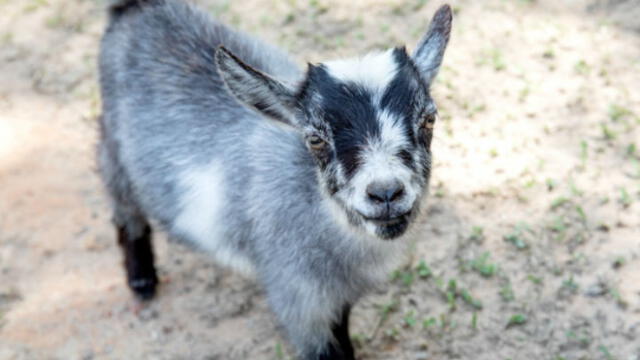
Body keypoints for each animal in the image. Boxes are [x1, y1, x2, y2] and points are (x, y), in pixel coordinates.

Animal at [97, 1, 452, 358]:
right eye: (315, 139)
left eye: (429, 120)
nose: (386, 193)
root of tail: (137, 8)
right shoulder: (297, 300)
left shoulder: (335, 300)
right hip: (113, 150)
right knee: (124, 209)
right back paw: (142, 281)